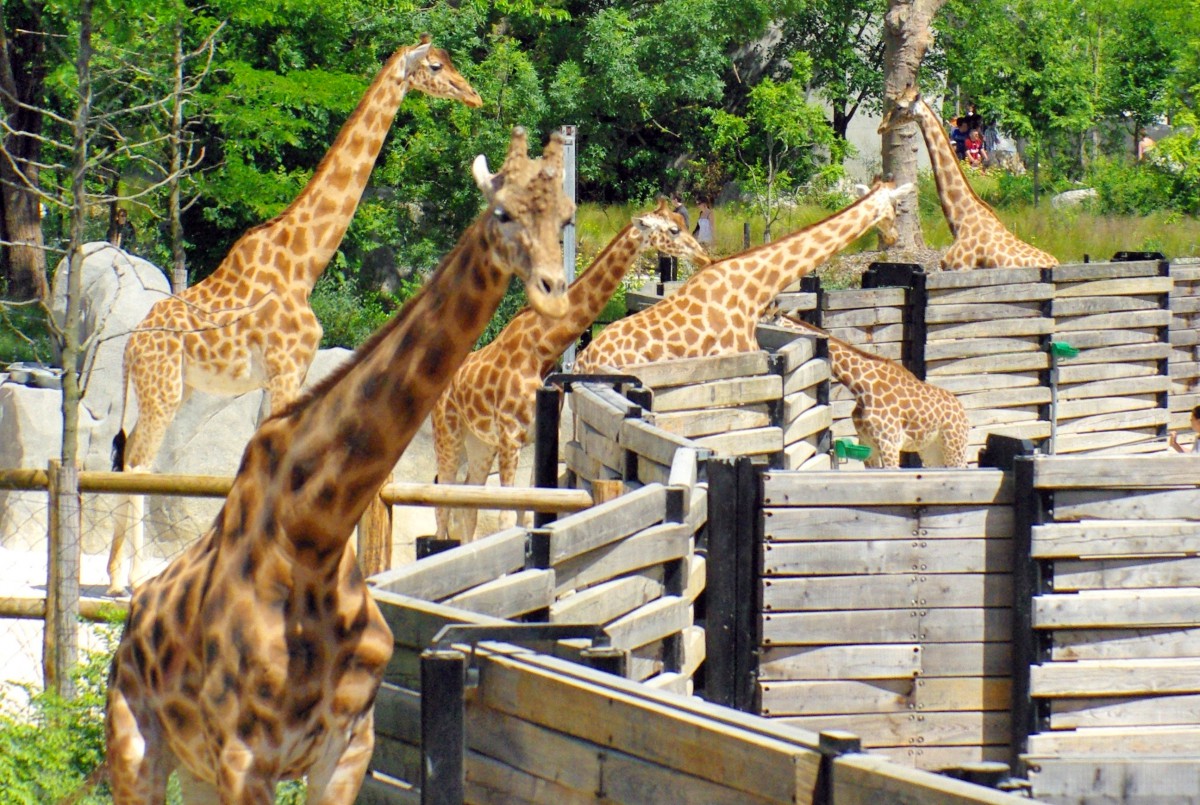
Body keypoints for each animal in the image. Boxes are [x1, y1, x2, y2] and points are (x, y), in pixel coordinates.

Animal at [434, 196, 705, 542]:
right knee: (443, 503)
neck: (542, 350)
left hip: (479, 442)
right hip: (449, 434)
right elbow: (506, 519)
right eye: (673, 229)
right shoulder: (510, 437)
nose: (703, 255)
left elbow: (531, 507)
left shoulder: (536, 434)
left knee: (468, 500)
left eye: (682, 222)